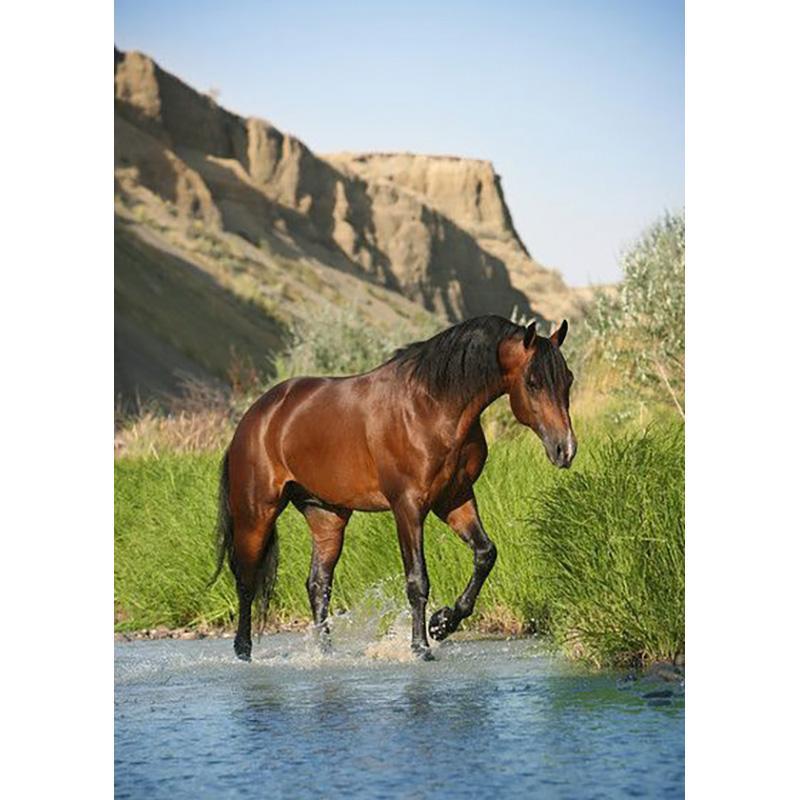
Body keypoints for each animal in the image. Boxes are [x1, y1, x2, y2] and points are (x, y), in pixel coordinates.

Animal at [212, 314, 577, 661]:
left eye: (568, 379)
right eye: (533, 382)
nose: (566, 449)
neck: (432, 407)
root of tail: (255, 417)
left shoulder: (455, 499)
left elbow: (485, 554)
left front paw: (442, 623)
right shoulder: (408, 507)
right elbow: (417, 579)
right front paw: (420, 646)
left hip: (327, 516)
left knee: (318, 584)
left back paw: (324, 651)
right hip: (256, 514)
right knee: (246, 580)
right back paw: (243, 650)